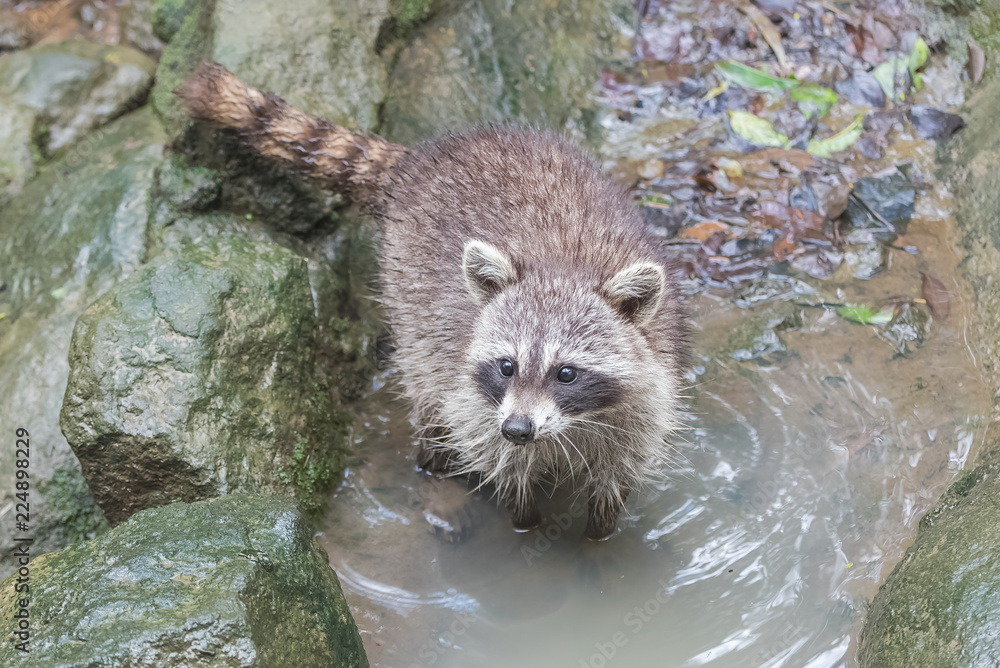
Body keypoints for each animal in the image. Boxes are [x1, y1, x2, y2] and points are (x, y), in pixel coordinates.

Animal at [178, 63, 688, 540]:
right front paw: (525, 527)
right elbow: (503, 468)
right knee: (428, 402)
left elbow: (617, 476)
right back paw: (434, 472)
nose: (518, 429)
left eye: (567, 373)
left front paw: (598, 540)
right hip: (409, 299)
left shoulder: (647, 397)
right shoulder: (478, 404)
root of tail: (426, 157)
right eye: (506, 366)